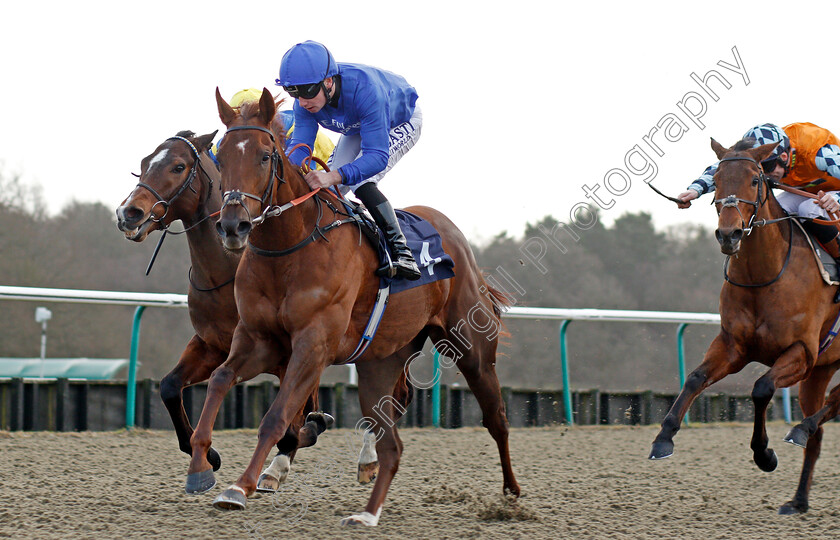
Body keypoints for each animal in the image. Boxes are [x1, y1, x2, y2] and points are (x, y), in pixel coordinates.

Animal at [115, 131, 332, 494]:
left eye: (178, 166)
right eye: (144, 164)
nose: (128, 212)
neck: (225, 272)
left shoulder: (287, 354)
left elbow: (291, 424)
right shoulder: (212, 344)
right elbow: (169, 386)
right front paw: (208, 457)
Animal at [188, 87, 520, 524]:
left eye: (264, 155)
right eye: (221, 156)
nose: (232, 225)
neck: (288, 248)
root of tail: (456, 238)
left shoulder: (313, 345)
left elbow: (275, 416)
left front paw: (240, 486)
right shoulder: (258, 340)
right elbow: (219, 380)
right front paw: (200, 466)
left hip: (473, 349)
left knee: (496, 418)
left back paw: (511, 495)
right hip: (383, 359)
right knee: (393, 433)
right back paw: (368, 501)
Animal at [648, 136, 840, 516]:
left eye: (754, 180)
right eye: (717, 179)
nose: (729, 234)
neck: (763, 276)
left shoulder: (802, 352)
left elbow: (762, 388)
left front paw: (764, 454)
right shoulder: (732, 345)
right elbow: (695, 378)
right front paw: (663, 438)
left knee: (834, 402)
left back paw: (800, 428)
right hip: (821, 370)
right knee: (820, 428)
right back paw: (798, 499)